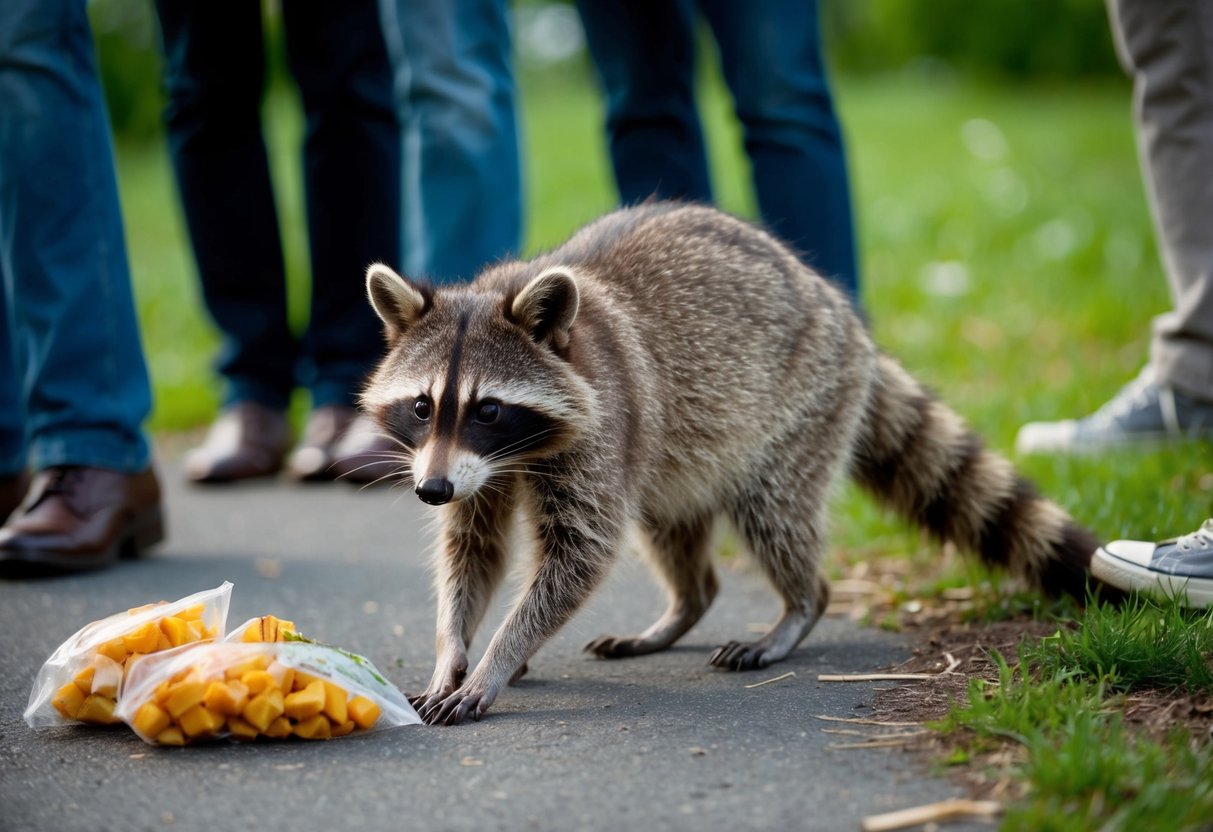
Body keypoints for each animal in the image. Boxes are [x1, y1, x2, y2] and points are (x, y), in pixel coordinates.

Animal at [362, 202, 1101, 726]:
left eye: (488, 409)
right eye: (423, 406)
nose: (430, 490)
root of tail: (841, 311)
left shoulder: (601, 428)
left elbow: (579, 554)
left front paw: (500, 654)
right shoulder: (467, 466)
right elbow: (472, 548)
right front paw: (453, 650)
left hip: (801, 404)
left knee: (773, 514)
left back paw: (800, 605)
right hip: (681, 452)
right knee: (669, 524)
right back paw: (684, 606)